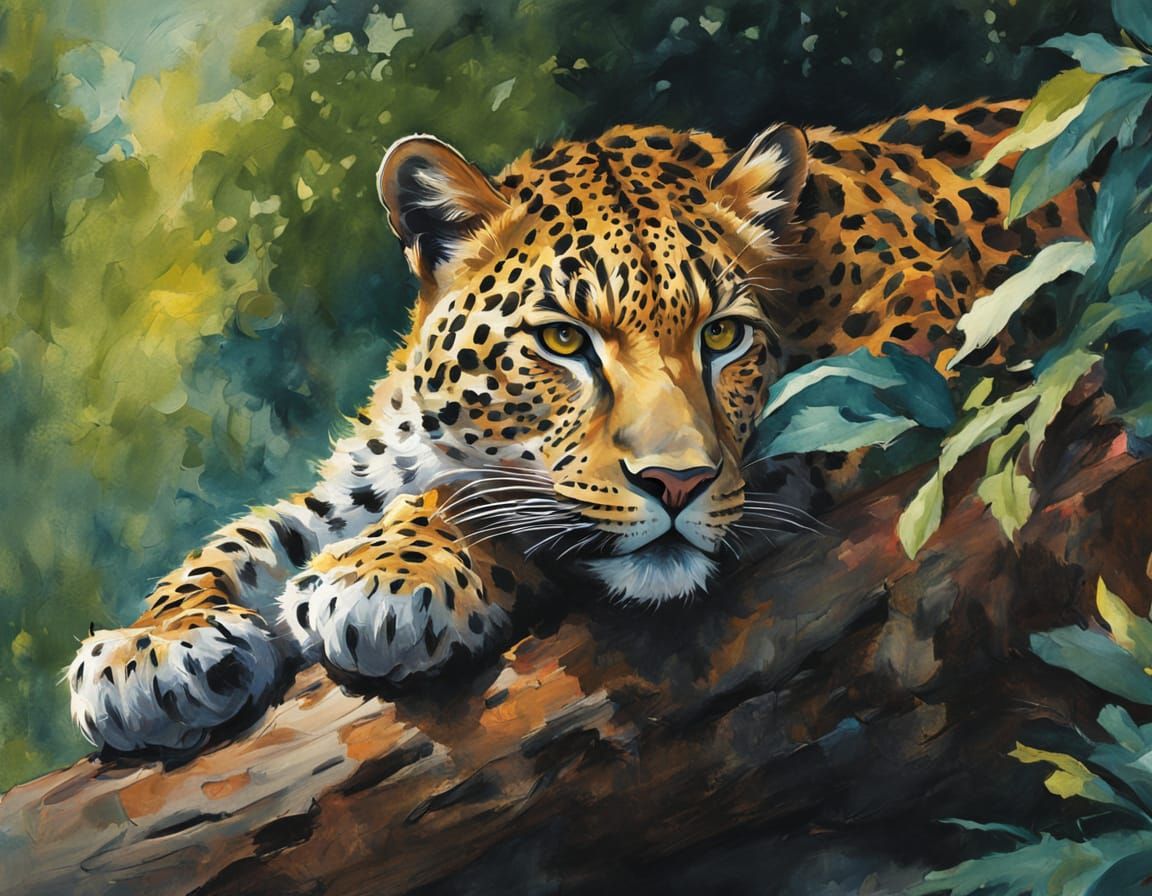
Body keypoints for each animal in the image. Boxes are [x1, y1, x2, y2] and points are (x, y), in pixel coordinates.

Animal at [68, 99, 1089, 753]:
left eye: (723, 335)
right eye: (563, 340)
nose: (676, 483)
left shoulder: (908, 372)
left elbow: (510, 503)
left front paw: (388, 575)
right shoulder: (373, 468)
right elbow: (250, 537)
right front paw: (146, 650)